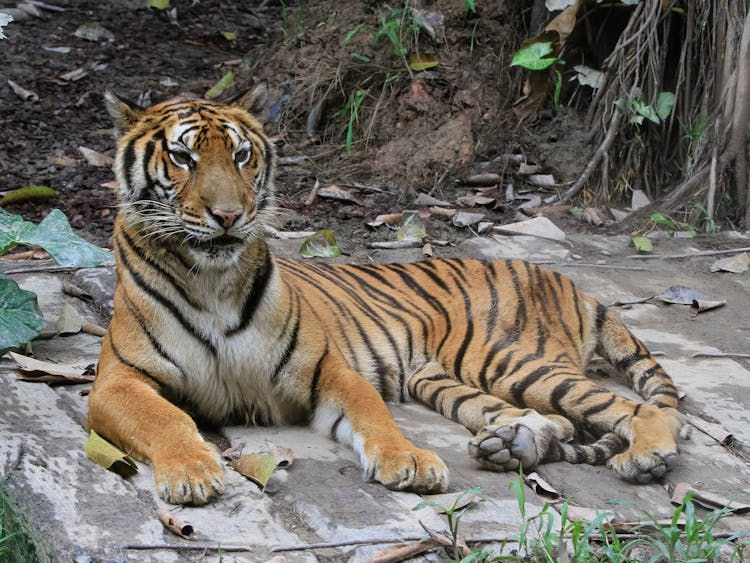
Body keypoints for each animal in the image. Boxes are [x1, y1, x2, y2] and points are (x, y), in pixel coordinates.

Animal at [85, 86, 684, 508]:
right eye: (183, 158)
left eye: (240, 155)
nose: (229, 216)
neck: (212, 279)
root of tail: (564, 280)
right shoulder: (118, 381)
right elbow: (166, 419)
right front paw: (192, 471)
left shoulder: (327, 367)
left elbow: (373, 414)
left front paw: (411, 462)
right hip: (448, 379)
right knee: (557, 421)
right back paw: (511, 443)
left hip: (512, 359)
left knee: (639, 409)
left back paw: (646, 456)